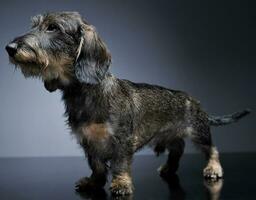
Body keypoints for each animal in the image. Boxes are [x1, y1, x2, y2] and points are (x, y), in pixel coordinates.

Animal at [6, 11, 250, 195]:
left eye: (53, 28)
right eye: (35, 25)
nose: (9, 48)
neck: (86, 93)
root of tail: (193, 99)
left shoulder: (122, 140)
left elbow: (119, 163)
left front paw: (121, 184)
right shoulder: (88, 141)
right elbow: (96, 166)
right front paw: (93, 182)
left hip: (198, 131)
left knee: (212, 149)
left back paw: (213, 168)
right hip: (172, 136)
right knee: (178, 149)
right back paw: (168, 168)